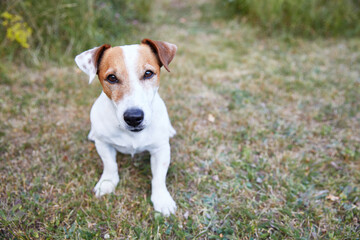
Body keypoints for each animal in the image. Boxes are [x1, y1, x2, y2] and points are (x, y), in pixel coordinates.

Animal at [74, 39, 177, 216]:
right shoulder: (103, 144)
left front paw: (162, 199)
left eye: (148, 73)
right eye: (112, 78)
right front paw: (107, 182)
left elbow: (158, 176)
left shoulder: (161, 149)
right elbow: (110, 164)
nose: (134, 117)